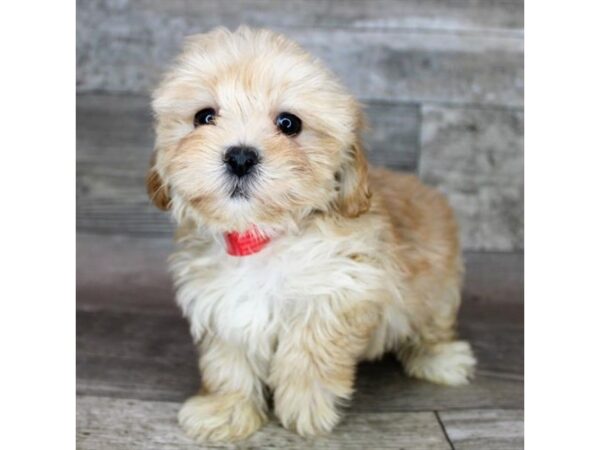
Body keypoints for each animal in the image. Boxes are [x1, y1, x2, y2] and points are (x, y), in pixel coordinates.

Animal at [146, 26, 474, 442]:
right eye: (204, 116)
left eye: (289, 124)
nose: (240, 156)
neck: (263, 234)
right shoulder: (222, 303)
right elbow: (228, 362)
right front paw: (226, 410)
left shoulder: (341, 288)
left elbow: (310, 350)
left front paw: (305, 406)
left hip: (438, 287)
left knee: (431, 326)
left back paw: (441, 358)